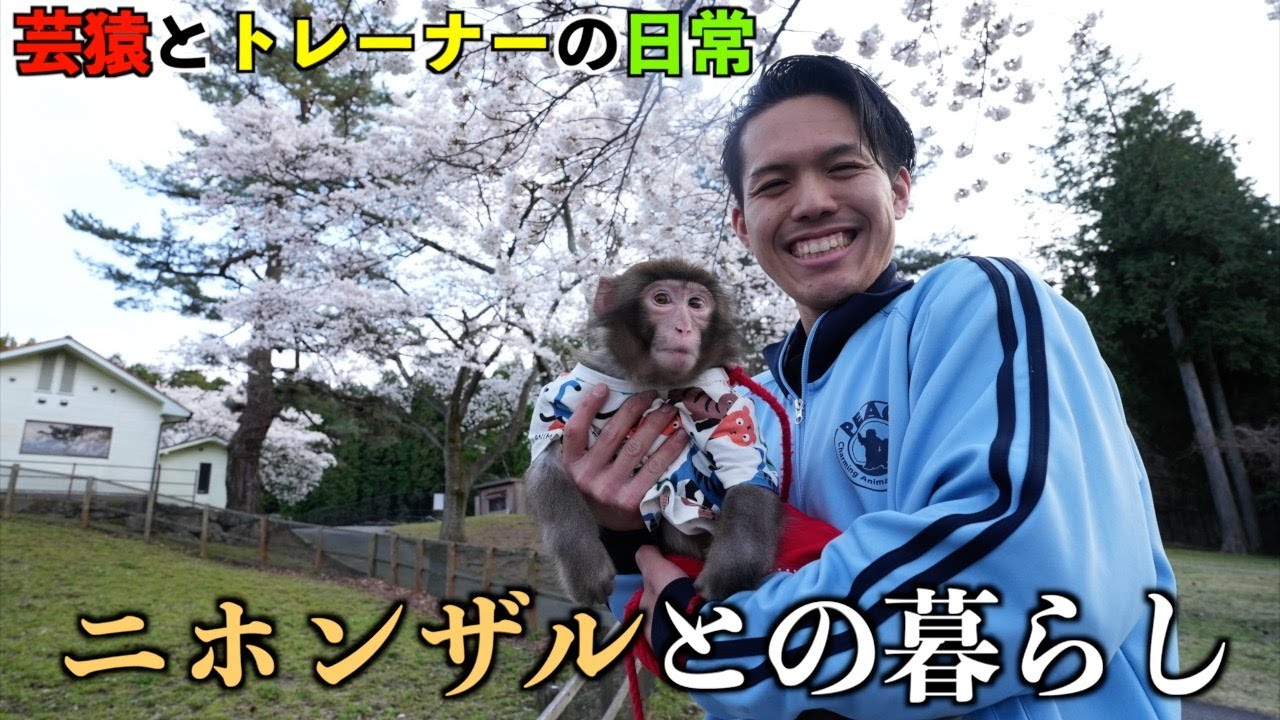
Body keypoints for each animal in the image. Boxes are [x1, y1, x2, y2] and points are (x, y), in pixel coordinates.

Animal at [525, 258, 783, 605]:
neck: (657, 383)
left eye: (696, 304)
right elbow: (547, 464)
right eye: (662, 300)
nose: (683, 327)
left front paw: (727, 575)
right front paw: (584, 569)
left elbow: (747, 474)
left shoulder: (726, 408)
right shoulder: (570, 396)